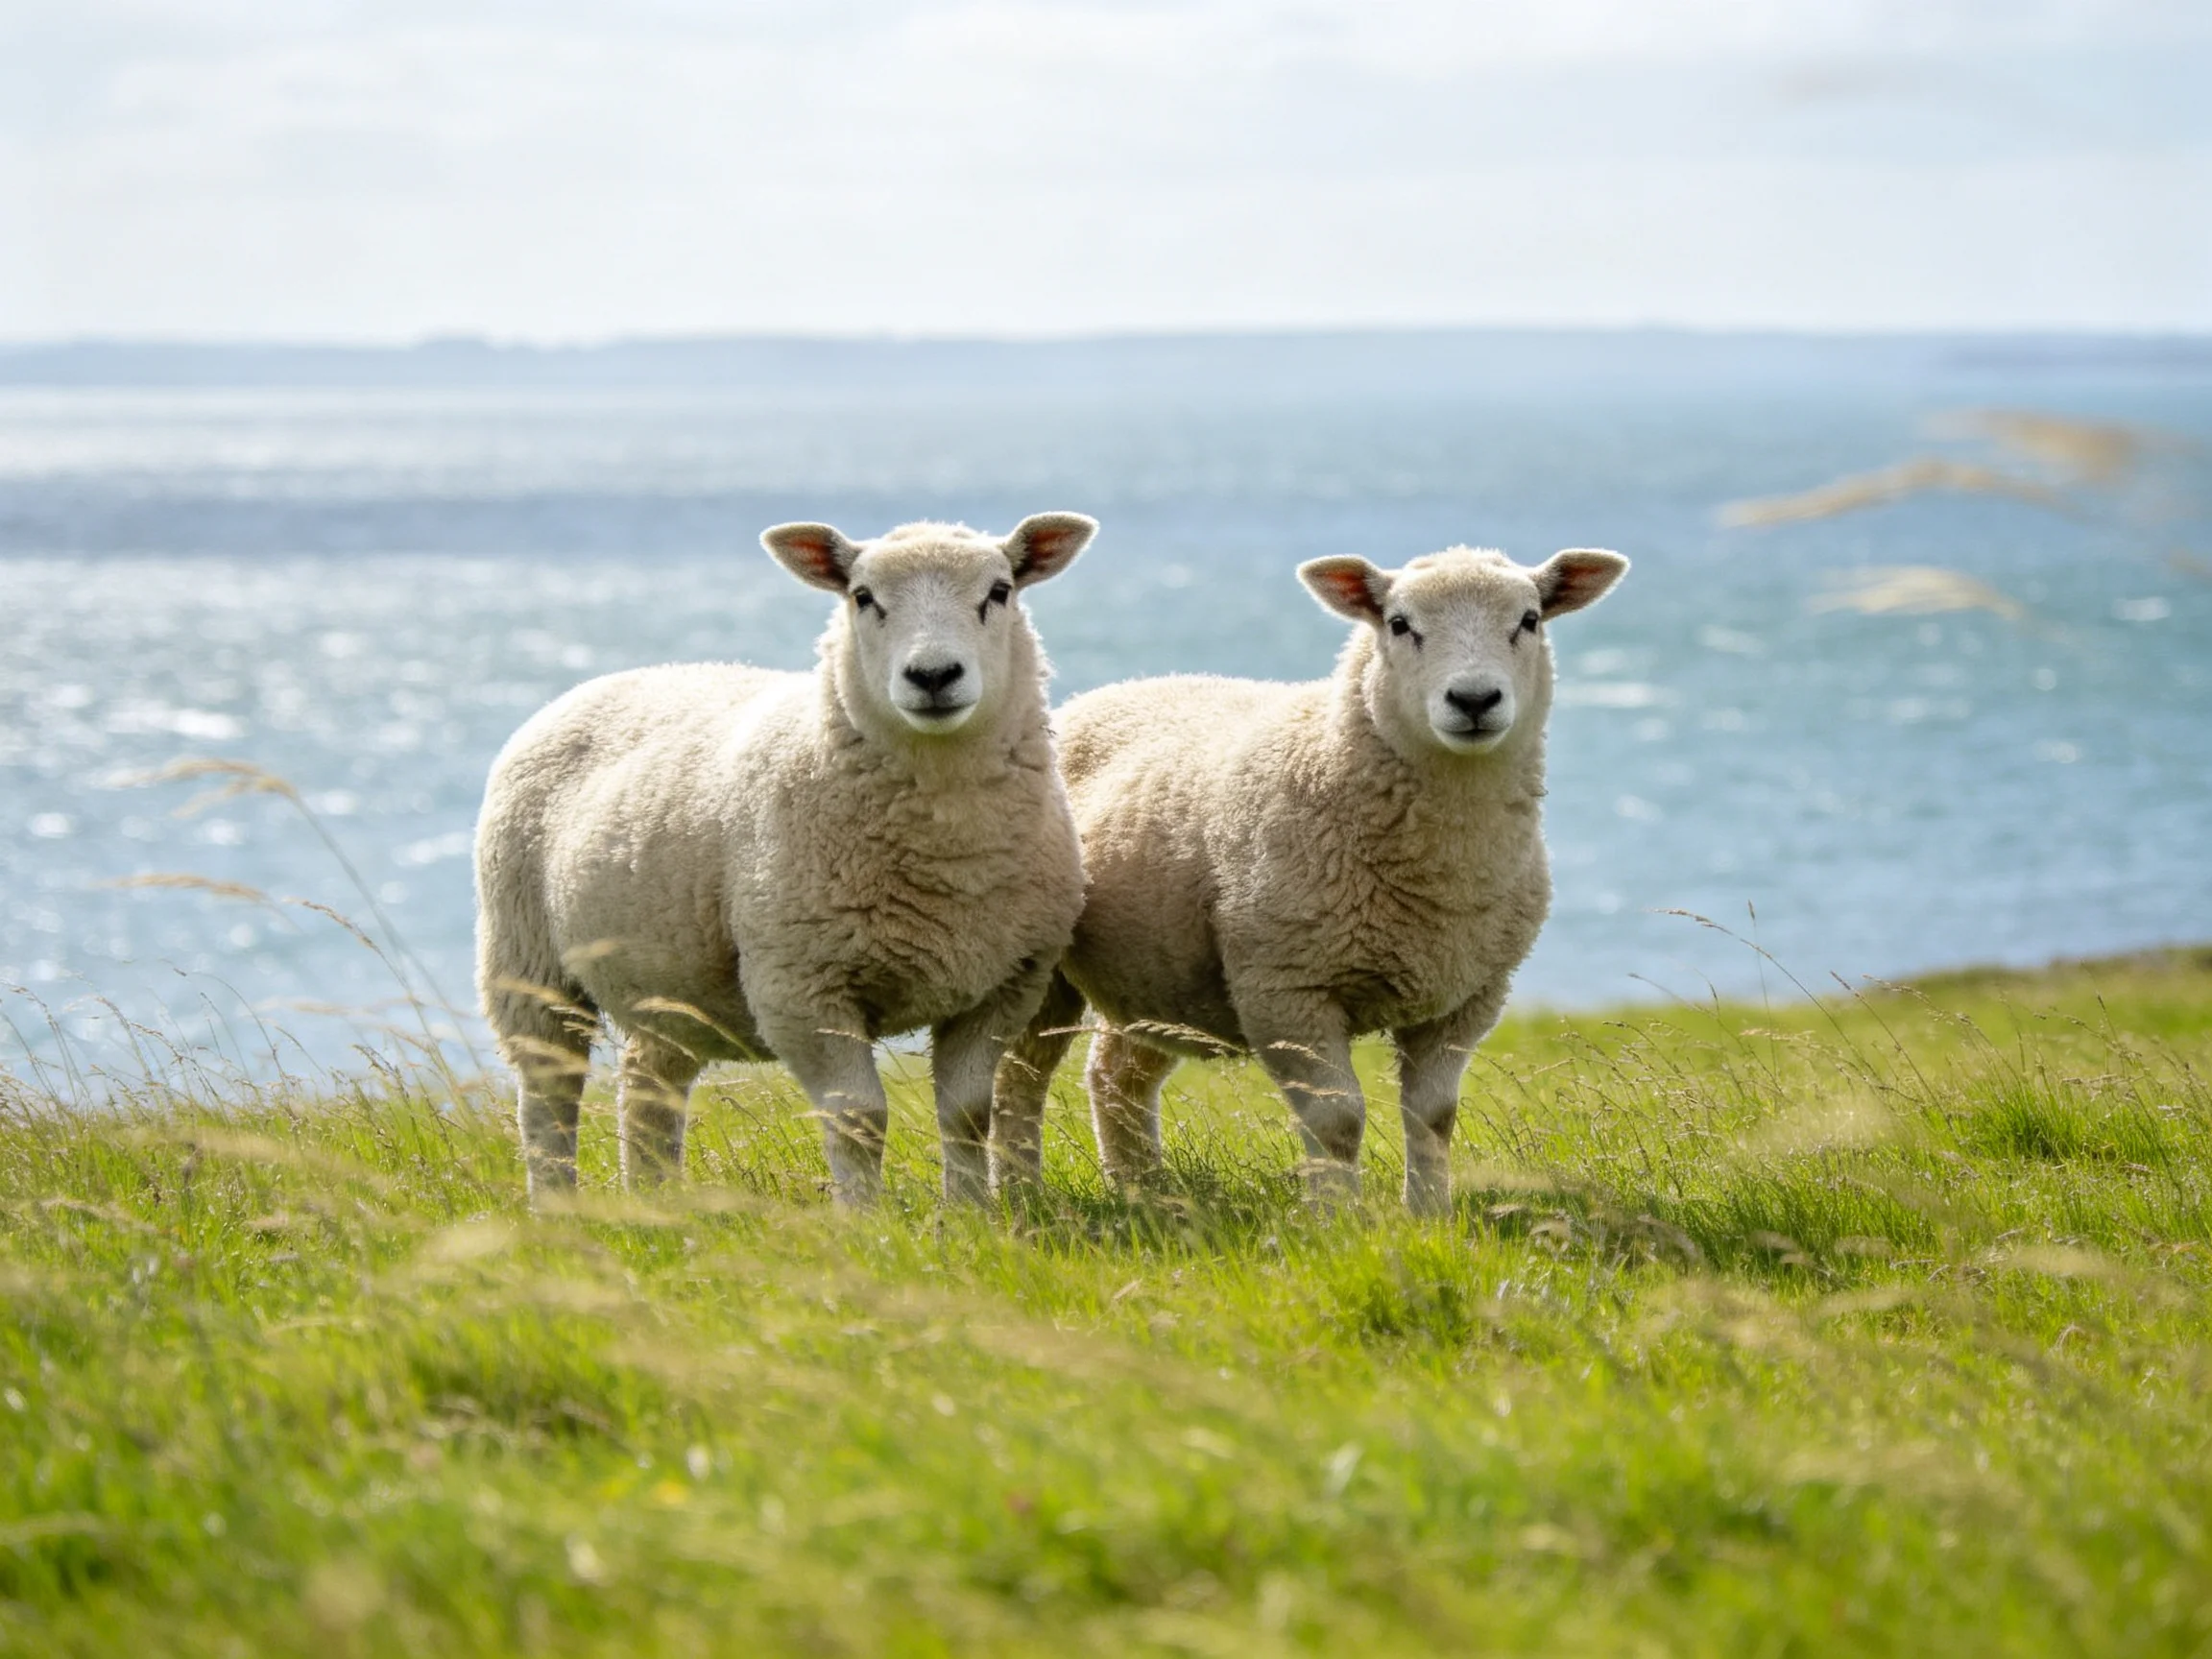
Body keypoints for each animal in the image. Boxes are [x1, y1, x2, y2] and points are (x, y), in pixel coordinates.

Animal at [475, 513, 1096, 1207]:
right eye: (862, 597)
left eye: (999, 591)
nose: (933, 676)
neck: (947, 849)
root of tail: (608, 678)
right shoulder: (801, 986)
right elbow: (857, 1117)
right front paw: (863, 1218)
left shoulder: (1003, 985)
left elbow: (966, 1113)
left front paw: (969, 1212)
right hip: (526, 957)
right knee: (548, 1092)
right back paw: (556, 1203)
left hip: (670, 984)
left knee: (649, 1082)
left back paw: (658, 1199)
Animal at [992, 543, 1628, 1213]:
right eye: (1398, 624)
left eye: (1529, 620)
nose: (1475, 699)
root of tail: (1116, 689)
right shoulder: (1286, 987)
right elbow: (1336, 1120)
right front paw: (1338, 1221)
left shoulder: (1467, 997)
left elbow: (1434, 1116)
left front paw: (1430, 1215)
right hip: (1041, 961)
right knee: (1019, 1076)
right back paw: (1021, 1192)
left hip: (1158, 971)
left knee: (1115, 1074)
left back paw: (1149, 1195)